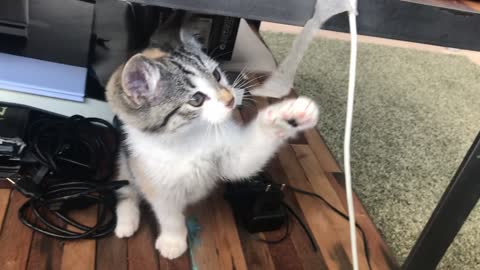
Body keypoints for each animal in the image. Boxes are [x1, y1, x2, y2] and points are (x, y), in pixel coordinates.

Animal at [107, 31, 320, 260]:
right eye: (197, 99)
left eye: (217, 75)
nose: (230, 100)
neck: (188, 137)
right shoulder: (155, 181)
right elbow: (169, 215)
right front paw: (173, 241)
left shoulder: (230, 156)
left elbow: (243, 163)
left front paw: (288, 115)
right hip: (125, 160)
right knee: (126, 189)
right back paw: (126, 222)